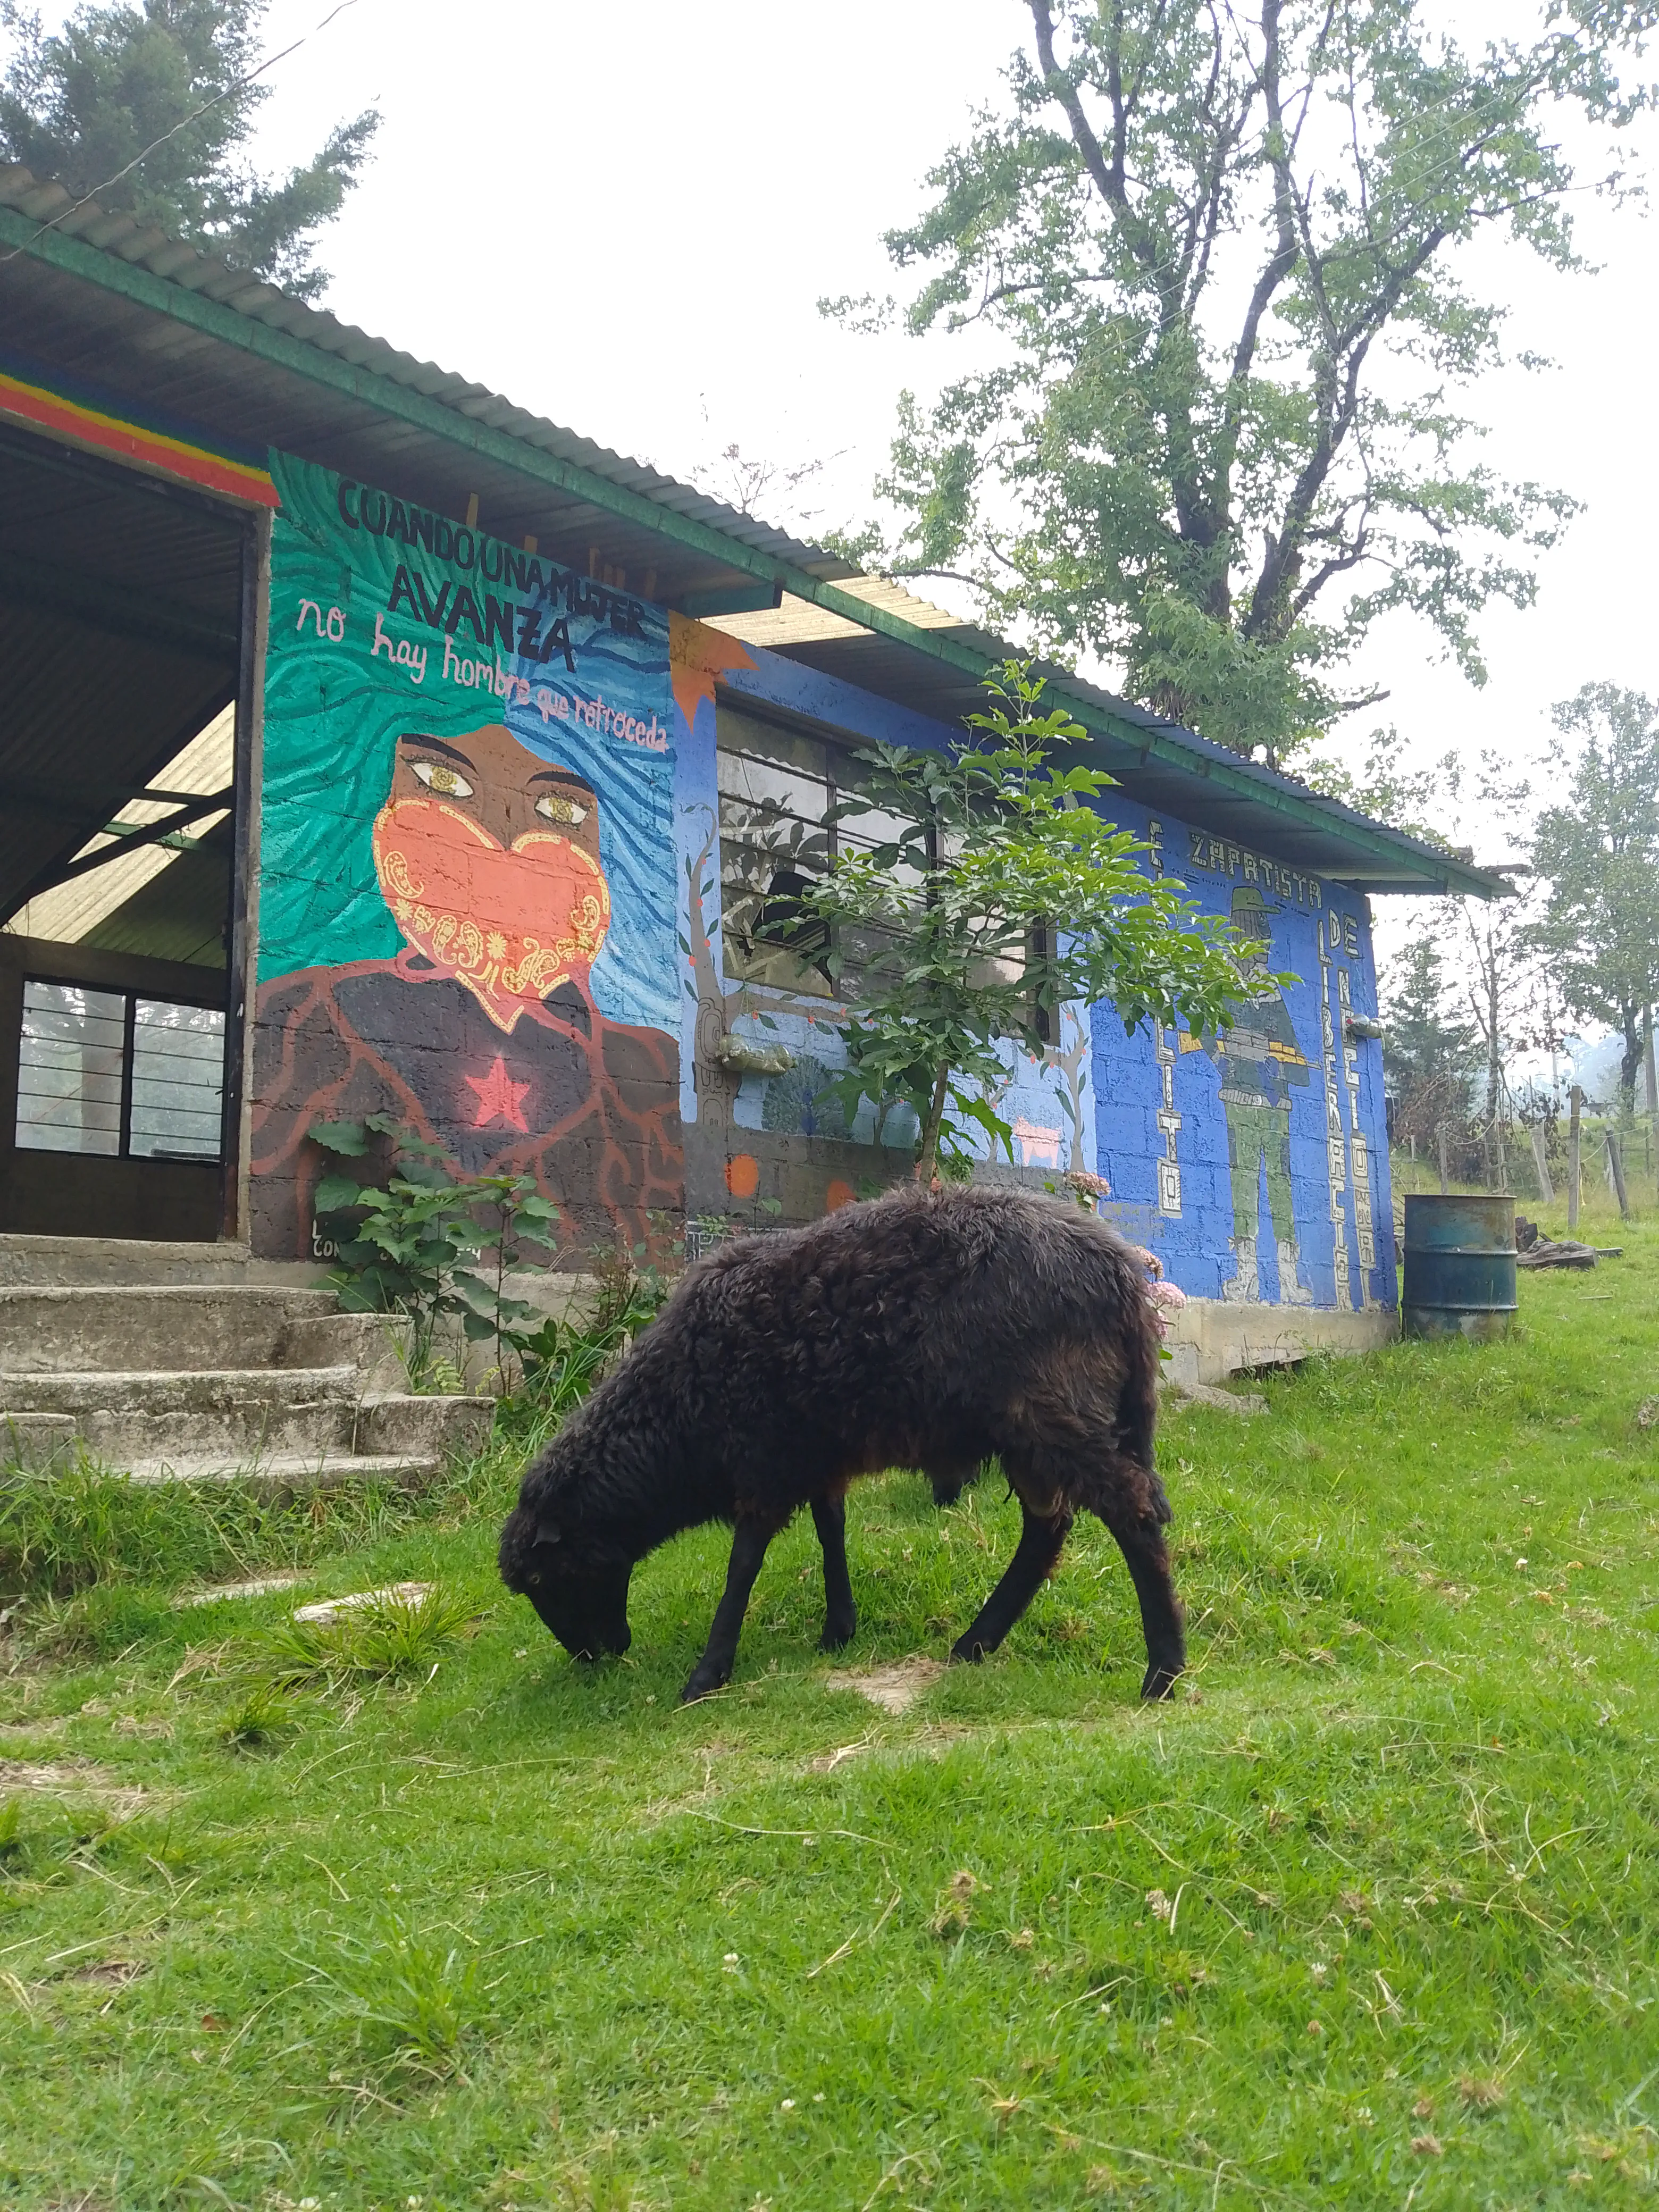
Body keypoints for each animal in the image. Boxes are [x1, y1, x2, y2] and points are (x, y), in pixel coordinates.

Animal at [499, 1183, 1184, 1703]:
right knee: (1047, 1529)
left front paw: (708, 1671)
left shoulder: (763, 1461)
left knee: (1130, 1509)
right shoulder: (814, 1454)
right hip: (1031, 1430)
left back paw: (1164, 1669)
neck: (678, 1404)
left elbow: (742, 1565)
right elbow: (831, 1529)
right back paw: (975, 1643)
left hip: (1053, 1411)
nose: (598, 1655)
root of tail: (1123, 1274)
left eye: (545, 1578)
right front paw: (838, 1626)